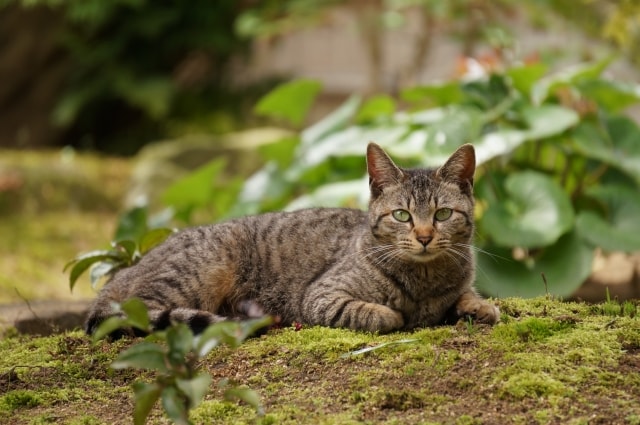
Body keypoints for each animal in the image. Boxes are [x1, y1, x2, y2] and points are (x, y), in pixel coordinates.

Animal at [86, 142, 500, 334]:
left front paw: (479, 306)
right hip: (199, 272)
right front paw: (395, 313)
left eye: (442, 214)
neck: (425, 280)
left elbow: (467, 296)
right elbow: (378, 313)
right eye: (402, 215)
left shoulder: (458, 286)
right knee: (139, 312)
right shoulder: (320, 297)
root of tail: (128, 270)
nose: (426, 236)